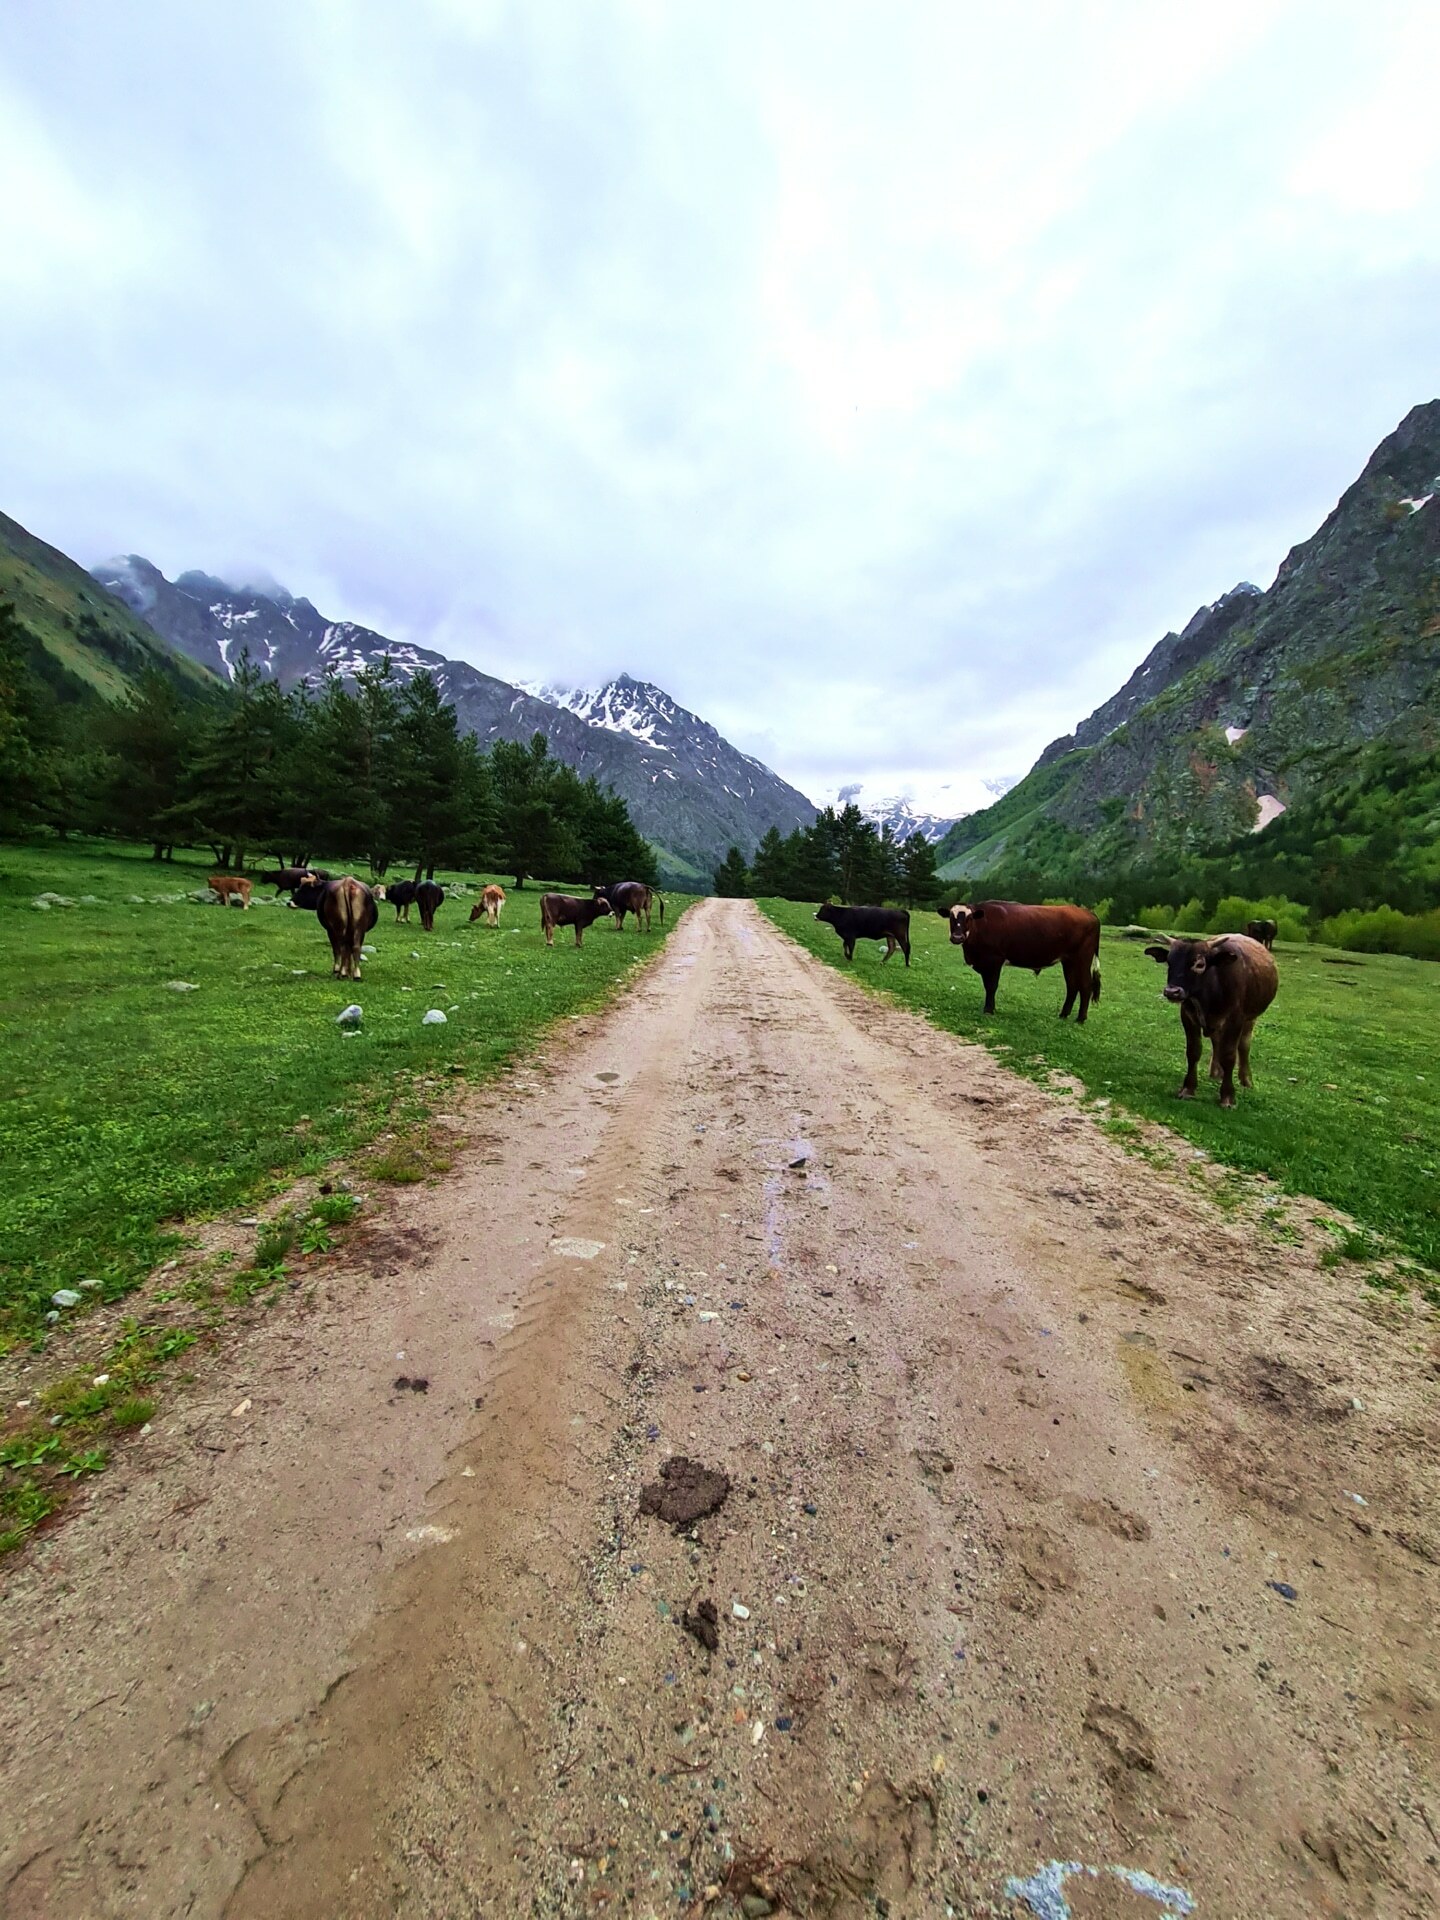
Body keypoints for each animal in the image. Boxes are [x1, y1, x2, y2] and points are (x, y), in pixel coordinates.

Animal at [948, 898, 1105, 1021]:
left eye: (969, 918)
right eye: (951, 917)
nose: (957, 937)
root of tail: (1088, 912)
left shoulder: (994, 960)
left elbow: (991, 986)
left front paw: (988, 1010)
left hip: (1082, 959)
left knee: (1085, 985)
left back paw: (1081, 1018)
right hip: (1069, 961)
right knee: (1072, 986)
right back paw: (1063, 1015)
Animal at [1152, 933, 1282, 1113]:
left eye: (1200, 964)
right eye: (1169, 961)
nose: (1172, 991)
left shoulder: (1235, 1020)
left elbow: (1229, 1055)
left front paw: (1228, 1096)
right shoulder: (1187, 1016)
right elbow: (1193, 1051)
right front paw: (1188, 1088)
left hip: (1250, 1020)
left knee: (1244, 1046)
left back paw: (1246, 1080)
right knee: (1217, 1042)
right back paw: (1216, 1072)